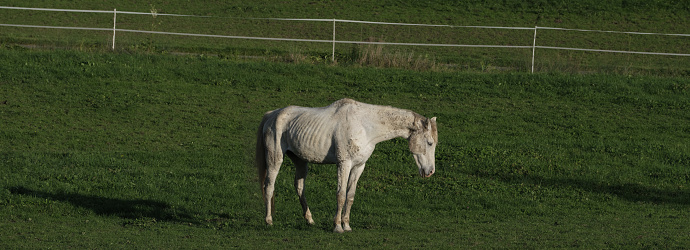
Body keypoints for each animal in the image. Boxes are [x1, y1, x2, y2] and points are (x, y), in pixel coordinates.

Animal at [253, 97, 436, 232]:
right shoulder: (344, 164)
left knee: (299, 187)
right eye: (429, 143)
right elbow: (340, 195)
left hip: (300, 161)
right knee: (269, 186)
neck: (365, 126)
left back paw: (309, 220)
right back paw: (269, 221)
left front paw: (346, 225)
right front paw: (337, 226)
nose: (430, 172)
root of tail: (272, 115)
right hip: (275, 159)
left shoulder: (359, 166)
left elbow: (350, 195)